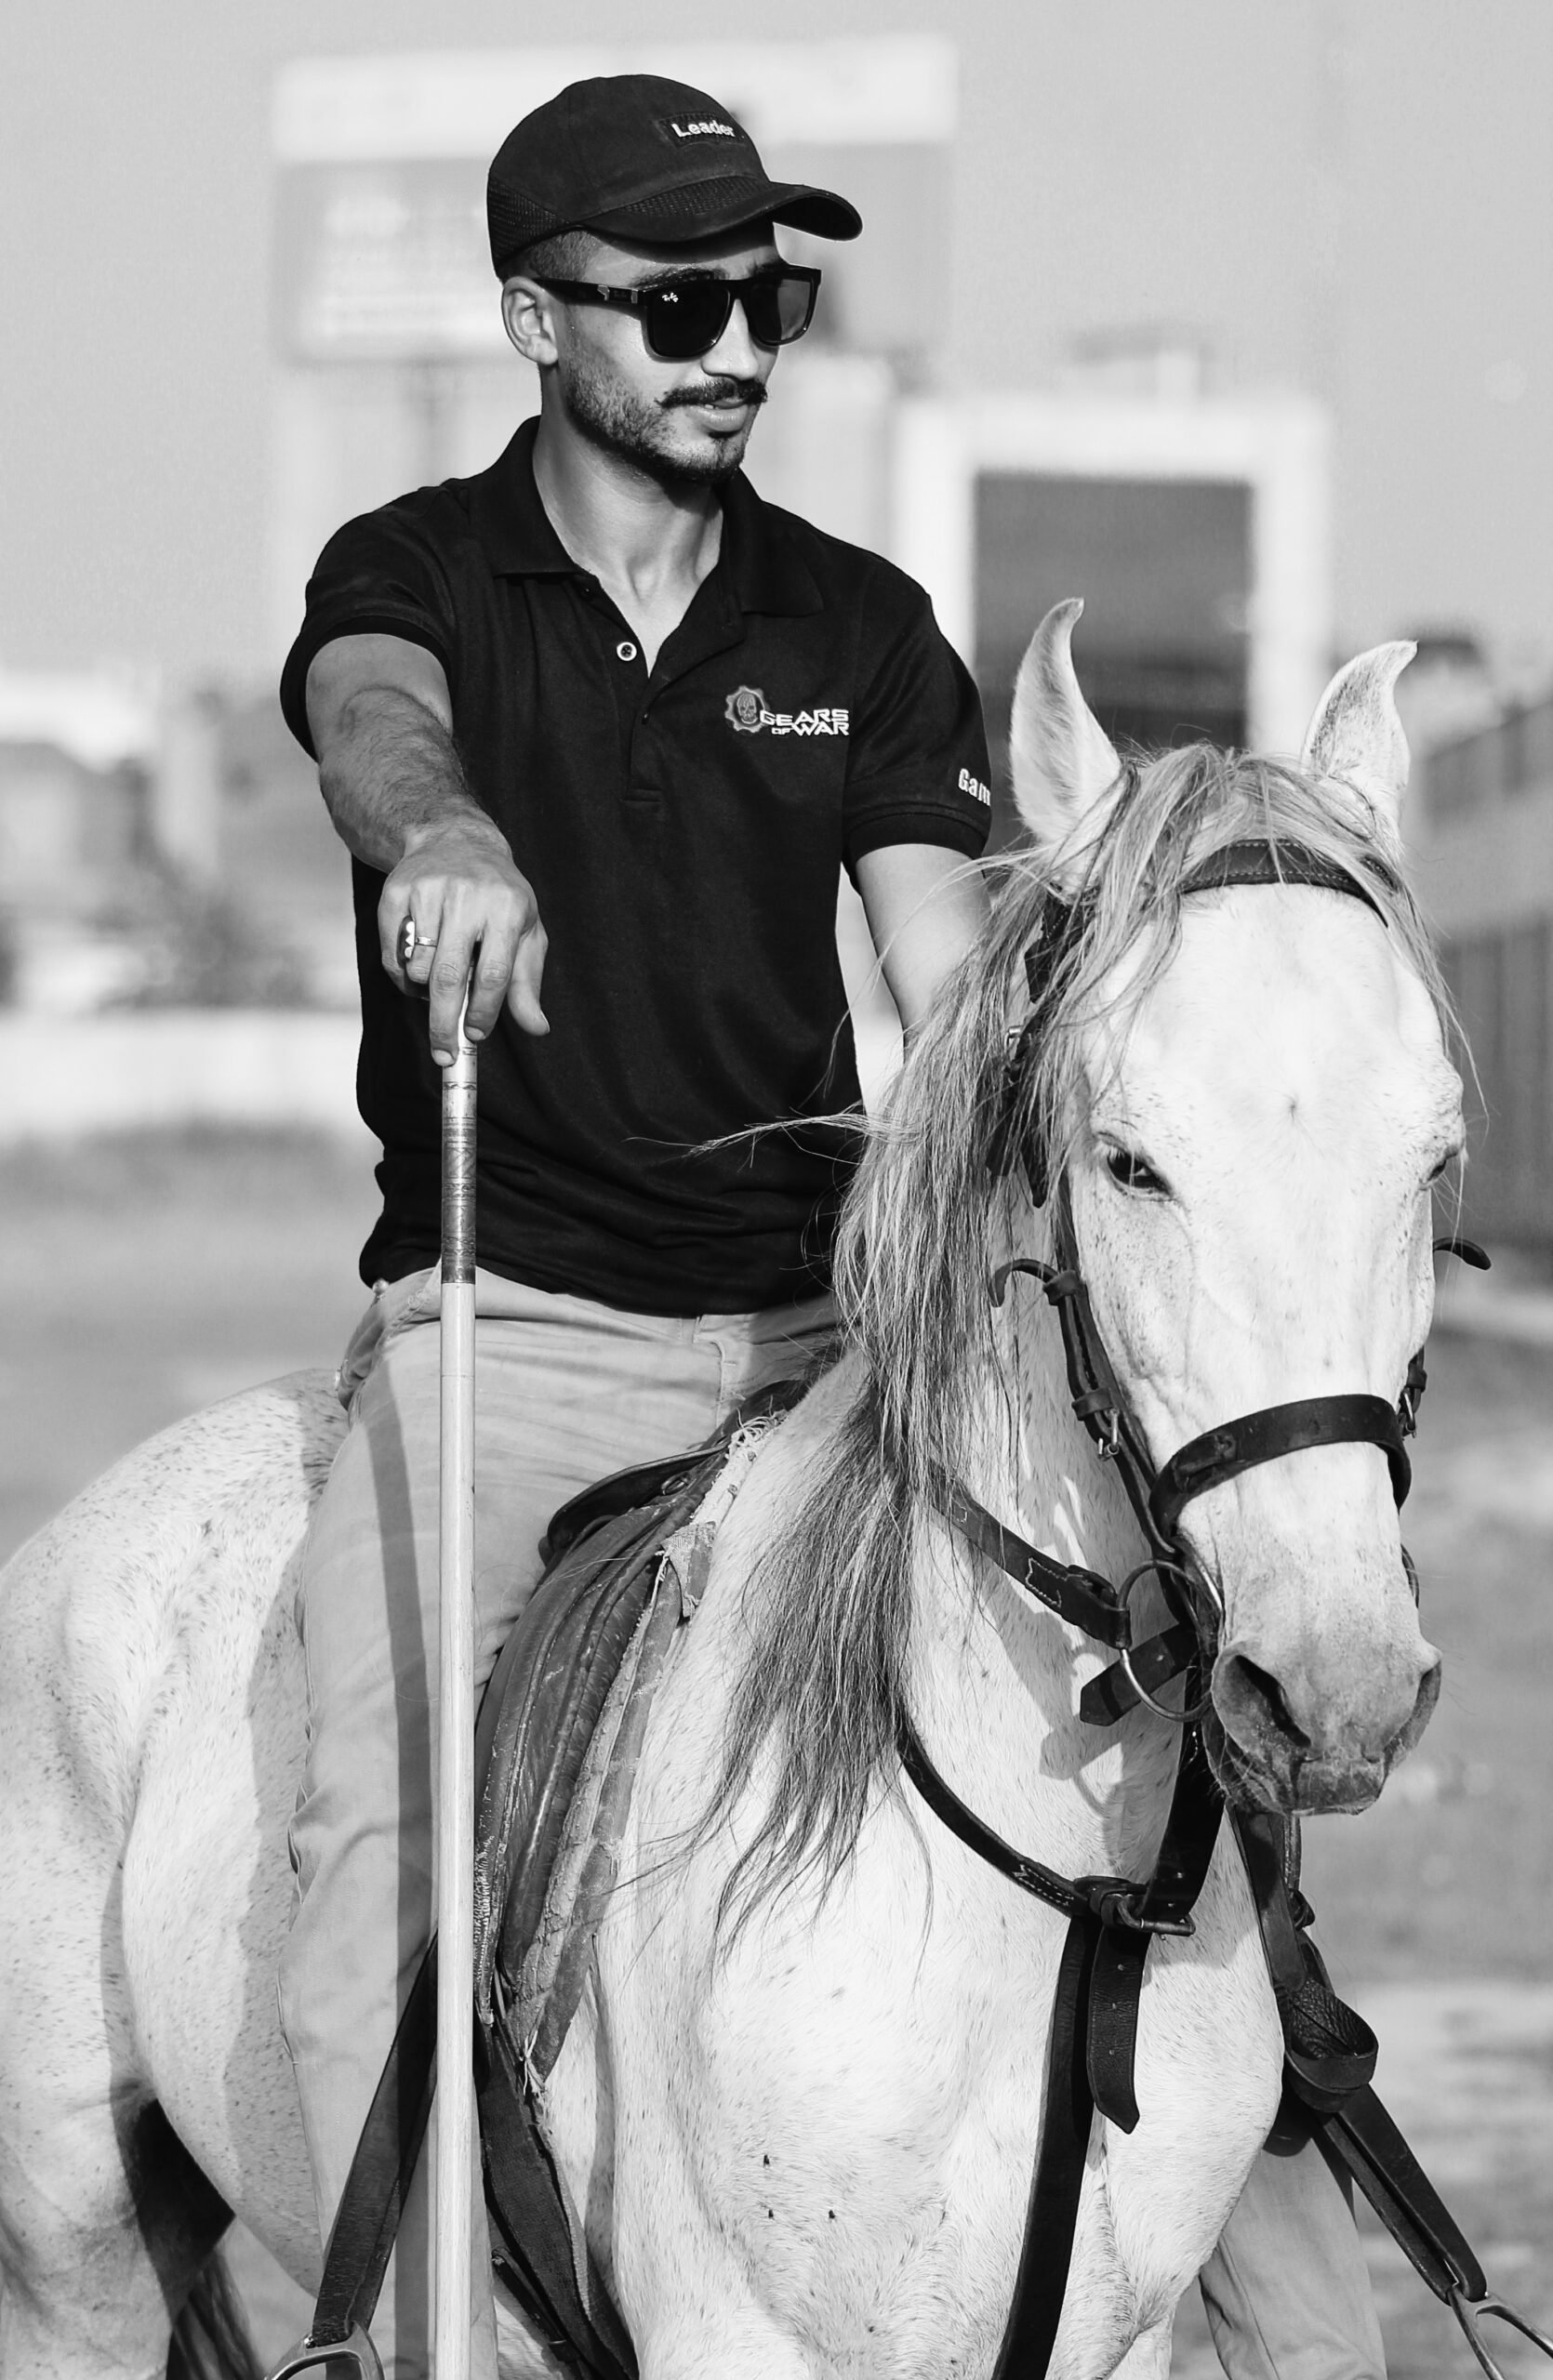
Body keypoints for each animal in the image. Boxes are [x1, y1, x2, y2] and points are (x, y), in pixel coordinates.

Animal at [0, 602, 1462, 2380]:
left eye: (1433, 1159)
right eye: (1129, 1162)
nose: (1339, 1687)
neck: (1047, 1894)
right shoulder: (737, 2338)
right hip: (72, 2241)